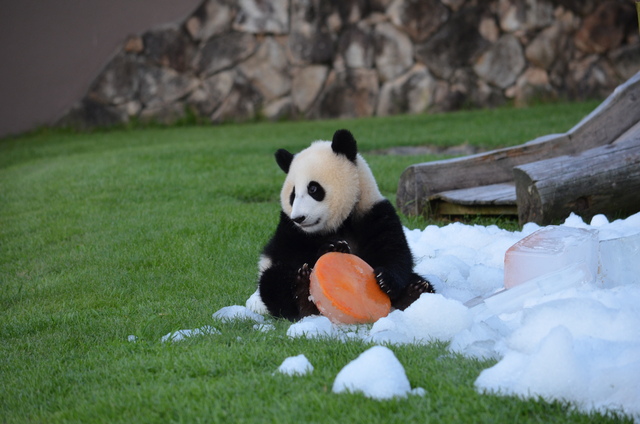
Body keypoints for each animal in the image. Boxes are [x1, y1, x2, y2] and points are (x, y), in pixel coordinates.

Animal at [256, 129, 436, 322]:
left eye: (313, 189)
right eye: (293, 194)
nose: (299, 218)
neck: (338, 223)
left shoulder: (373, 212)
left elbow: (394, 251)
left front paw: (384, 280)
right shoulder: (289, 229)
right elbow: (291, 253)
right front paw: (333, 247)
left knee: (423, 284)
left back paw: (415, 291)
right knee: (274, 281)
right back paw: (303, 293)